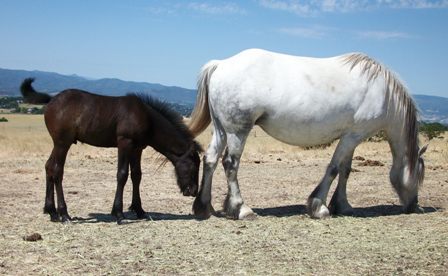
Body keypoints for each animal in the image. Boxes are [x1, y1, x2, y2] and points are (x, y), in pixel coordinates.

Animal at [21, 78, 201, 223]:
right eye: (193, 165)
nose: (193, 191)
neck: (147, 118)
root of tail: (52, 100)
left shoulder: (137, 149)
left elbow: (136, 176)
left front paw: (139, 210)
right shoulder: (124, 143)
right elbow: (122, 175)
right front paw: (118, 214)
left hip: (58, 144)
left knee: (49, 167)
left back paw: (51, 212)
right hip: (62, 143)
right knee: (57, 171)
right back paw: (64, 214)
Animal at [187, 48, 426, 219]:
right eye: (419, 174)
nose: (414, 206)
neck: (382, 91)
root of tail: (220, 64)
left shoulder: (352, 136)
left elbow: (345, 170)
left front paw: (343, 205)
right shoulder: (353, 136)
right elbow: (334, 168)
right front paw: (319, 207)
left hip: (221, 130)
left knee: (211, 160)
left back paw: (204, 207)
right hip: (238, 131)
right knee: (230, 164)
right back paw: (242, 209)